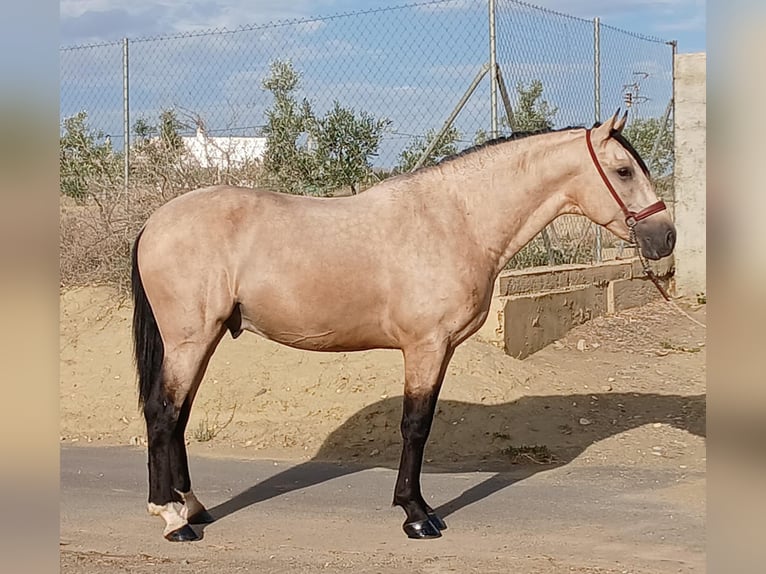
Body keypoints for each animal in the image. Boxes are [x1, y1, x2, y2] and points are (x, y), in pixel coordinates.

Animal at [134, 110, 680, 544]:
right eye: (623, 170)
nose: (666, 237)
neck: (455, 219)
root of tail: (156, 221)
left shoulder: (441, 349)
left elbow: (422, 423)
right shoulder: (426, 347)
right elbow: (415, 426)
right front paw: (417, 515)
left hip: (201, 341)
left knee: (178, 417)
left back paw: (192, 506)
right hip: (189, 340)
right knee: (163, 414)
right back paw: (173, 519)